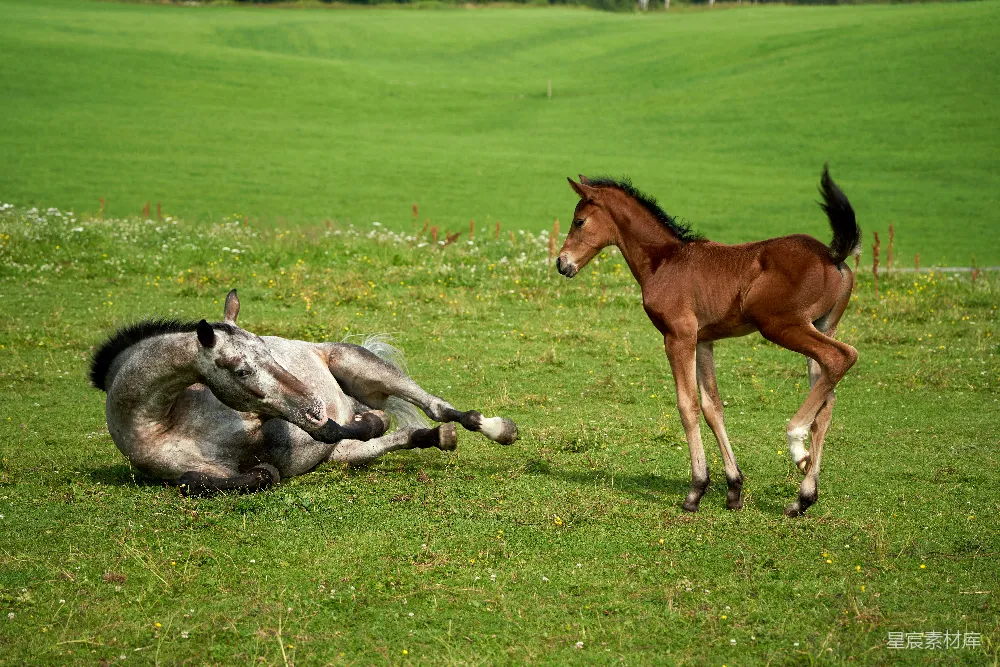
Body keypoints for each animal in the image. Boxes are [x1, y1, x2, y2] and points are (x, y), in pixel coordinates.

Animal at [89, 290, 518, 496]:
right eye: (242, 369)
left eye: (267, 347)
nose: (313, 399)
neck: (165, 422)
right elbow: (216, 479)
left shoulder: (279, 421)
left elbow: (330, 428)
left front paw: (363, 420)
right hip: (348, 456)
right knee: (406, 434)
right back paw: (437, 437)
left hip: (361, 367)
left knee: (437, 407)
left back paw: (497, 428)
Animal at [556, 166, 860, 517]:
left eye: (579, 221)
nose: (562, 263)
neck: (664, 261)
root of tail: (831, 255)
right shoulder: (703, 341)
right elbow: (712, 407)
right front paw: (734, 488)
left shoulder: (678, 337)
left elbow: (687, 406)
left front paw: (696, 489)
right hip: (821, 325)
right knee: (827, 399)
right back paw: (803, 497)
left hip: (783, 326)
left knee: (842, 357)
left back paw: (796, 445)